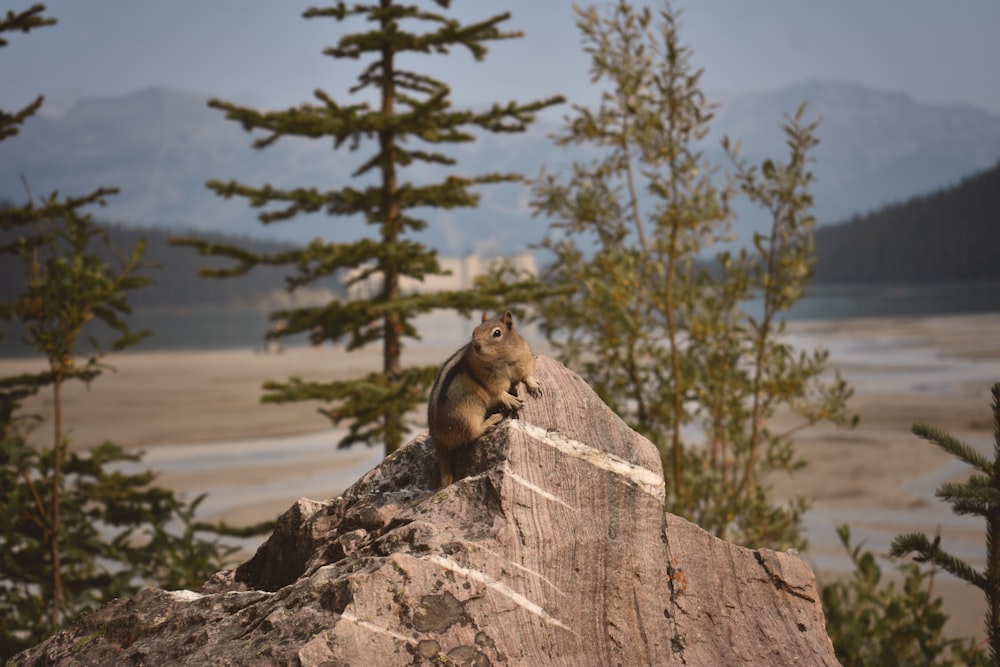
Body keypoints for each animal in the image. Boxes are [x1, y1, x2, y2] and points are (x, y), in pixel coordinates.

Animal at [426, 310, 544, 488]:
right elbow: (497, 391)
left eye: (497, 333)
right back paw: (493, 419)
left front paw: (533, 384)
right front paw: (510, 399)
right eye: (474, 332)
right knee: (473, 433)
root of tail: (436, 436)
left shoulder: (523, 359)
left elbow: (527, 373)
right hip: (468, 413)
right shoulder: (488, 378)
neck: (502, 359)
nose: (476, 346)